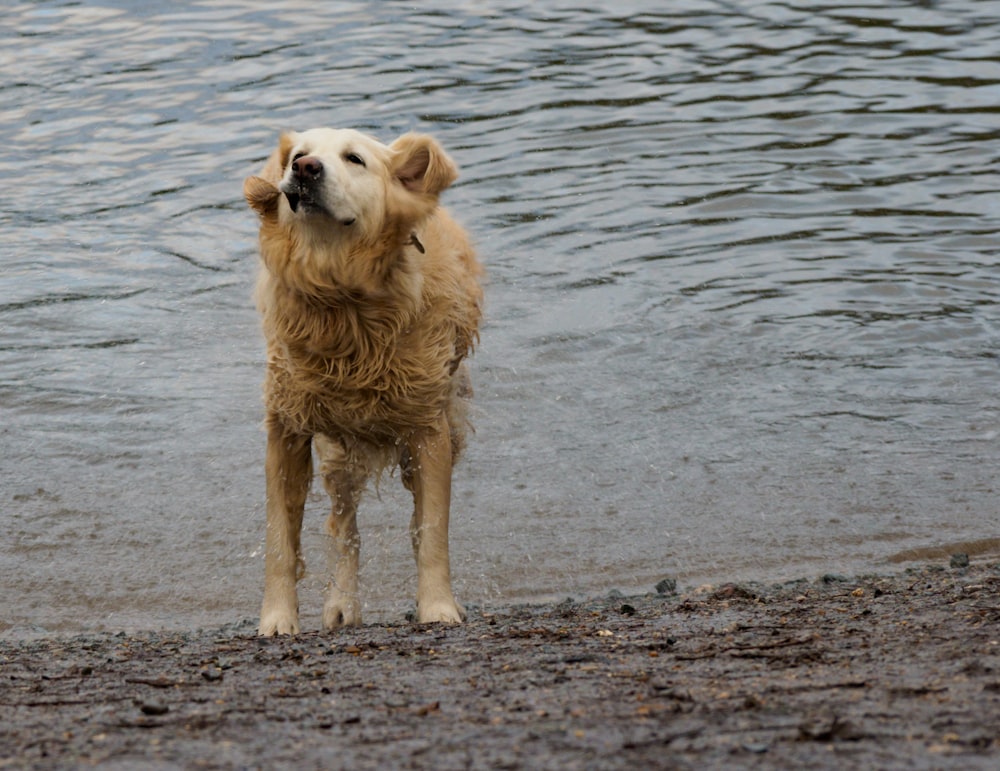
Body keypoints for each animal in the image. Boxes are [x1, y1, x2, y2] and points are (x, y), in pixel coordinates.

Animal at [248, 128, 486, 632]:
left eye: (354, 159)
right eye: (299, 155)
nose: (304, 169)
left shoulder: (428, 429)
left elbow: (431, 531)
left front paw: (438, 607)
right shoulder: (287, 428)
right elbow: (280, 540)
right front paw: (277, 618)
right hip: (339, 454)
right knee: (345, 526)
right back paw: (342, 603)